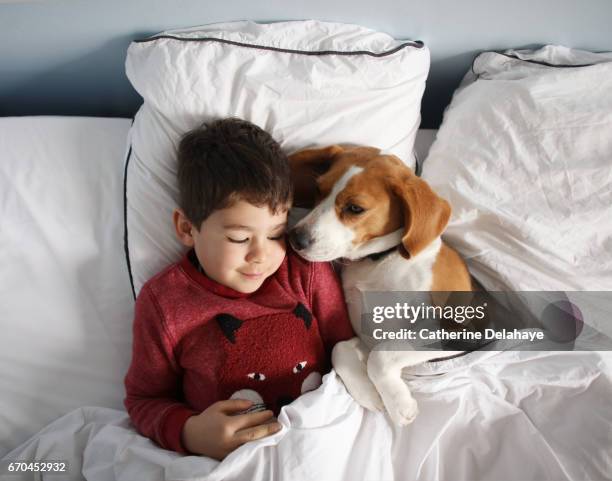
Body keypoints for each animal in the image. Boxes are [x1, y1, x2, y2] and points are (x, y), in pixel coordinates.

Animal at [290, 145, 470, 424]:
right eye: (319, 189)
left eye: (355, 208)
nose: (295, 239)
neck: (381, 261)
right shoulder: (366, 336)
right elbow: (340, 348)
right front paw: (368, 392)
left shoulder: (455, 332)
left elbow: (382, 355)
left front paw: (399, 404)